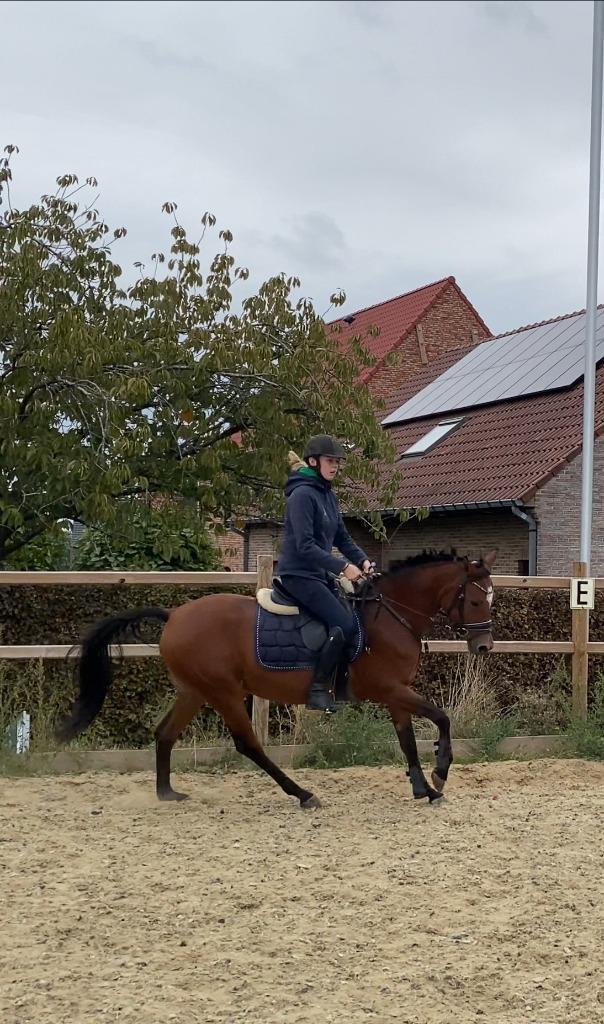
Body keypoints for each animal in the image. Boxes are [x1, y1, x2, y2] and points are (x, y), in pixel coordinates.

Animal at [57, 550, 496, 807]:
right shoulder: (391, 689)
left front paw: (424, 789)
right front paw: (440, 772)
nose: (484, 647)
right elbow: (441, 718)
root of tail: (175, 615)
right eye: (475, 600)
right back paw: (302, 794)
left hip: (194, 691)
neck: (391, 616)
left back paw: (167, 793)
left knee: (165, 733)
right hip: (225, 693)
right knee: (248, 744)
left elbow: (407, 740)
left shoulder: (395, 693)